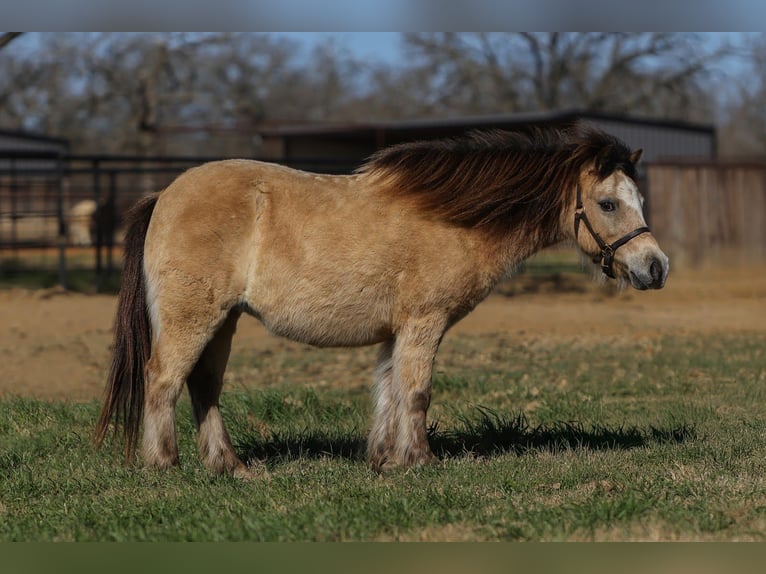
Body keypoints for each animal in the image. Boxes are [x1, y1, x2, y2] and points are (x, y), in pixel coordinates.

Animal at [94, 124, 669, 477]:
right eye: (608, 203)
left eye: (639, 199)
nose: (656, 267)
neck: (452, 217)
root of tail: (163, 196)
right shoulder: (423, 323)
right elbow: (415, 392)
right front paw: (420, 461)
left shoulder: (398, 332)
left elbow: (389, 392)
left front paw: (386, 460)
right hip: (194, 317)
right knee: (163, 379)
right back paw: (164, 464)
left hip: (224, 321)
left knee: (204, 387)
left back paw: (230, 467)